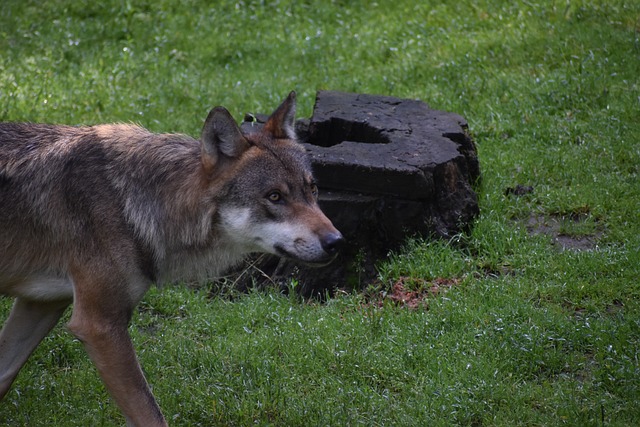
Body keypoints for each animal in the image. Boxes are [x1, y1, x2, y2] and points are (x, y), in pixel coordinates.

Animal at [0, 92, 344, 426]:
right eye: (274, 196)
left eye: (312, 189)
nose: (336, 242)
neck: (134, 201)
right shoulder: (99, 325)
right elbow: (150, 415)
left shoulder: (41, 305)